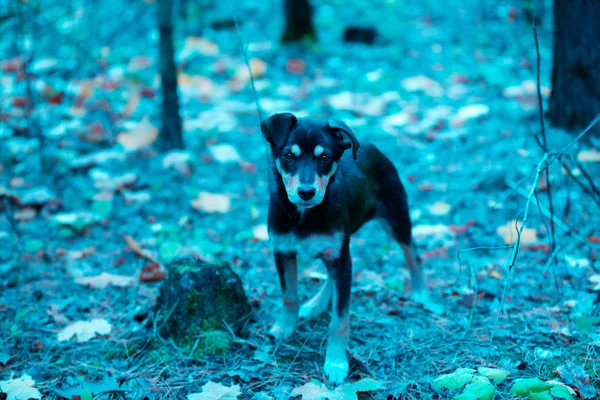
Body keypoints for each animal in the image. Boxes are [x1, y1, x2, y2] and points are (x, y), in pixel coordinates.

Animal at [262, 112, 426, 384]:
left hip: (395, 216)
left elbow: (339, 319)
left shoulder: (341, 257)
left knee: (411, 250)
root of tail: (370, 145)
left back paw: (422, 291)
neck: (304, 215)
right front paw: (284, 326)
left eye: (324, 157)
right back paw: (315, 304)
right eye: (288, 156)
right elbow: (289, 295)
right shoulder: (283, 250)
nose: (306, 192)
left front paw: (337, 363)